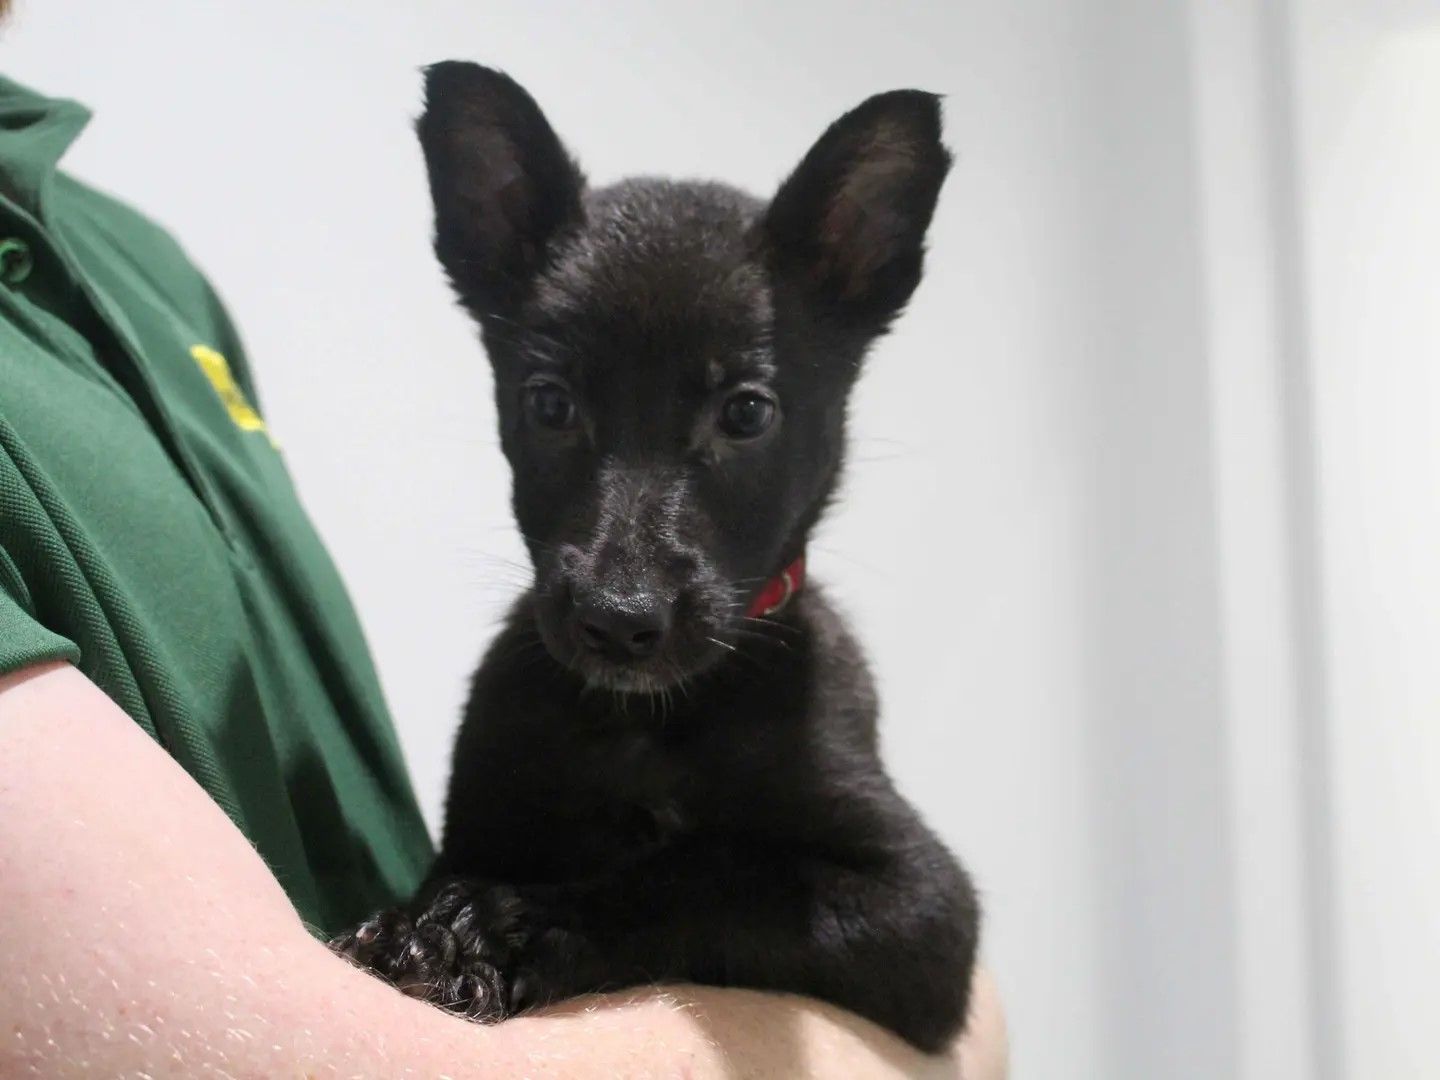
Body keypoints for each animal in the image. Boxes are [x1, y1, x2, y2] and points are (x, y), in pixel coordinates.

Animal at [335, 61, 984, 1059]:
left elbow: (714, 874)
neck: (650, 722)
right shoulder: (478, 824)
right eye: (550, 404)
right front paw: (425, 930)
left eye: (747, 413)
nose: (618, 621)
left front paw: (506, 929)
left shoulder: (924, 903)